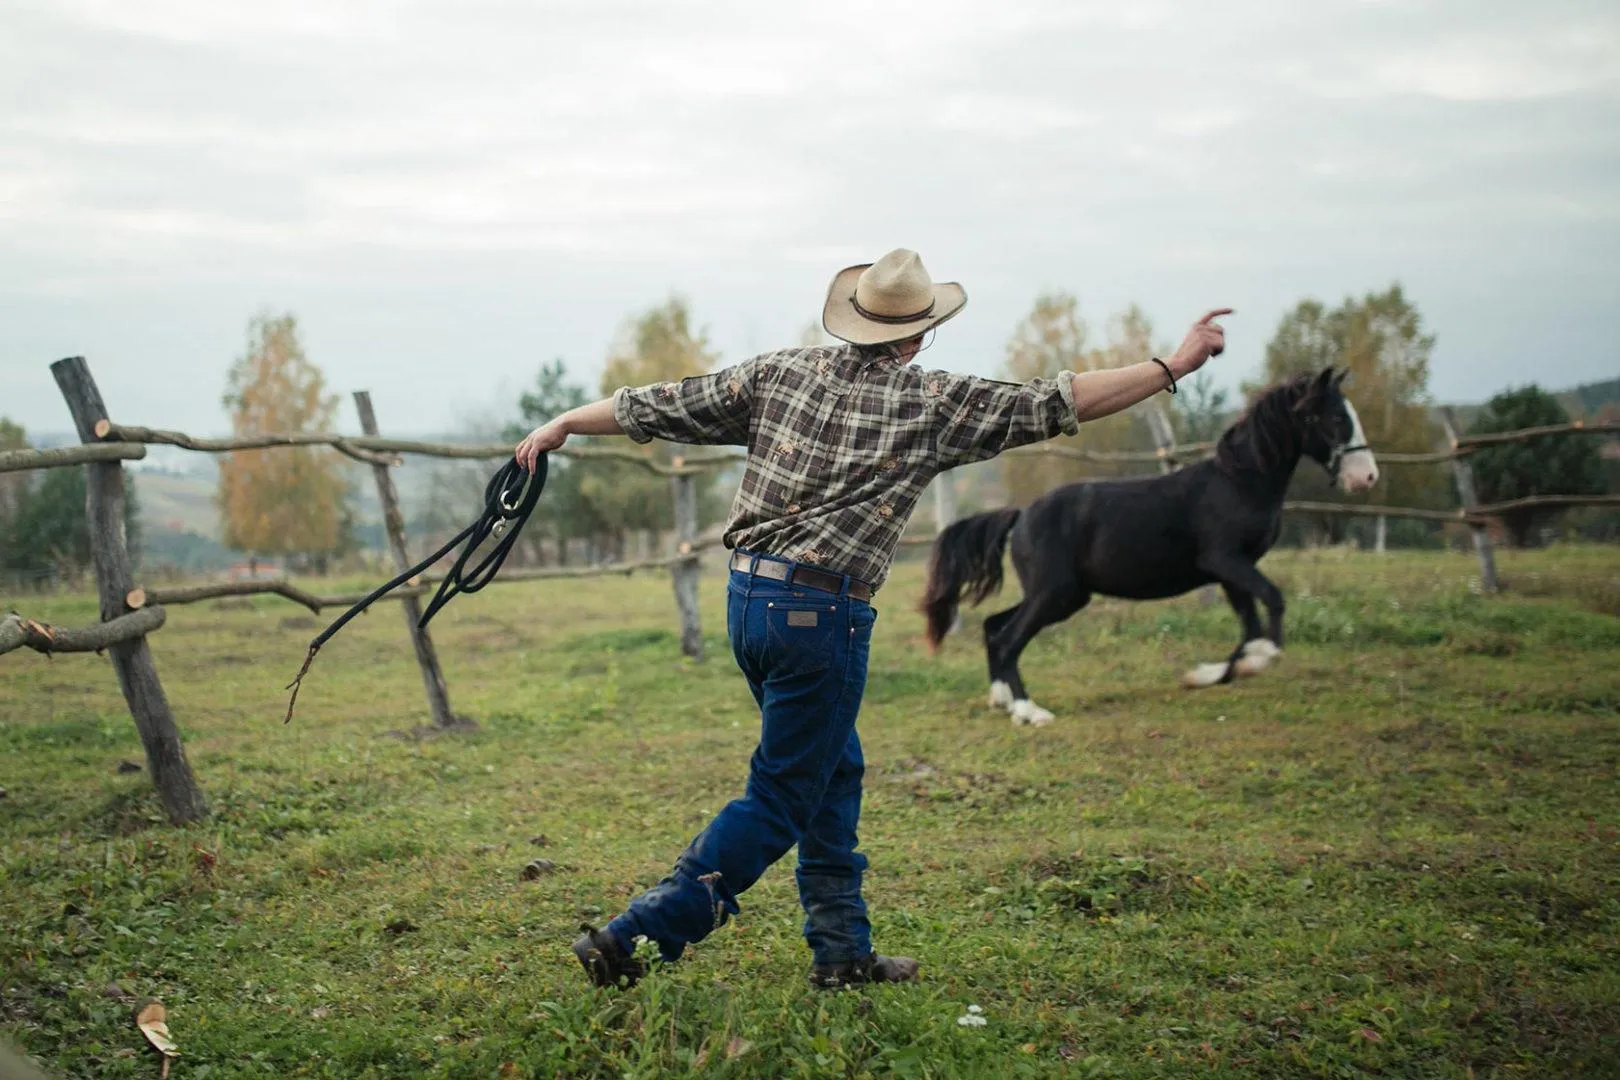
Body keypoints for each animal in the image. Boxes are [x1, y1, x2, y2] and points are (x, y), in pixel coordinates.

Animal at [926, 367, 1380, 731]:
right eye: (1336, 417)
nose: (1367, 477)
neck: (1239, 483)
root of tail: (1021, 515)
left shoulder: (1230, 571)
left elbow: (1248, 626)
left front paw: (1209, 674)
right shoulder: (1226, 560)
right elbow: (1272, 602)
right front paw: (1258, 659)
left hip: (1061, 596)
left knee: (994, 626)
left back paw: (1002, 701)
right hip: (1053, 594)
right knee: (1007, 639)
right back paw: (1028, 711)